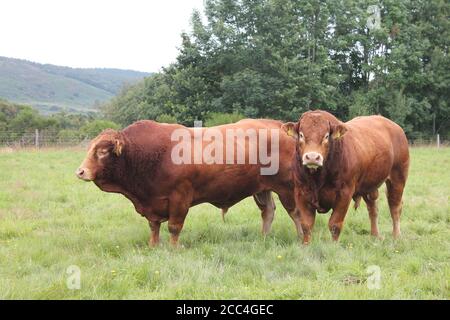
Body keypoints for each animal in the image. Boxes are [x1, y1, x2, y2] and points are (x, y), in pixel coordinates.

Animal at [75, 119, 300, 246]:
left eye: (102, 151)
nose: (80, 171)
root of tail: (277, 126)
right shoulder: (152, 204)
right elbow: (153, 227)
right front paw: (153, 246)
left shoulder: (179, 198)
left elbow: (174, 227)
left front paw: (173, 249)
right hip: (262, 188)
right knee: (268, 211)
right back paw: (264, 238)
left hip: (287, 188)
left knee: (296, 213)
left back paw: (301, 239)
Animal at [284, 111, 410, 244]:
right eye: (301, 135)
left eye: (326, 136)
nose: (312, 157)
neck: (317, 179)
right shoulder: (300, 192)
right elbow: (306, 224)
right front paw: (306, 245)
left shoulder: (344, 193)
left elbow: (335, 224)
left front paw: (333, 246)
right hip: (368, 185)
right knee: (373, 209)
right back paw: (375, 235)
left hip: (398, 178)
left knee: (395, 207)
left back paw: (396, 236)